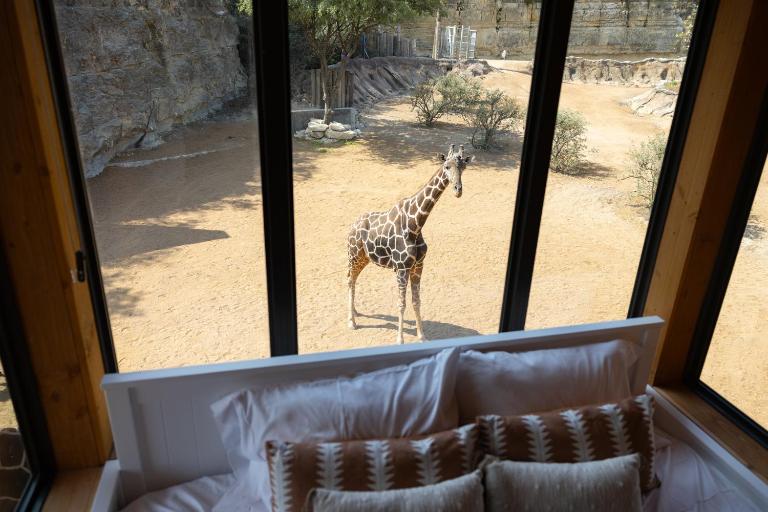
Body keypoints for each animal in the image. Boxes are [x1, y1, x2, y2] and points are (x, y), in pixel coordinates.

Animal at [346, 144, 474, 344]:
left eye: (463, 167)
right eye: (446, 166)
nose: (457, 190)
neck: (415, 224)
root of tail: (352, 226)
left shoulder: (418, 266)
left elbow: (416, 301)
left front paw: (422, 336)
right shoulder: (401, 268)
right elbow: (402, 303)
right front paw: (400, 340)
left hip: (364, 259)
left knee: (354, 279)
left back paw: (356, 312)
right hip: (354, 255)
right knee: (349, 280)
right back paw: (351, 322)